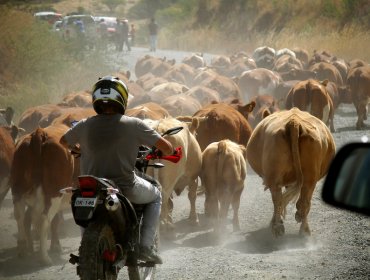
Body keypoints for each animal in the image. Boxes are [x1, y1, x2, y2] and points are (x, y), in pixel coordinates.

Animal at [246, 108, 336, 237]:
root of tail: (294, 122)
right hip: (310, 177)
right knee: (305, 201)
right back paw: (304, 230)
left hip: (275, 176)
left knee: (277, 199)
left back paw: (277, 226)